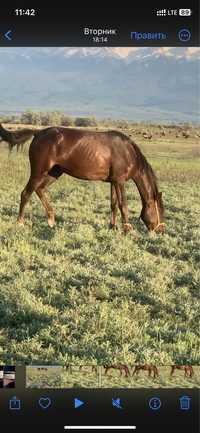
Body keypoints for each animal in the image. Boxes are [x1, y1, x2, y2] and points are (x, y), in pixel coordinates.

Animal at [17, 126, 164, 231]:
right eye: (160, 211)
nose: (161, 230)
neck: (128, 152)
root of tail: (37, 133)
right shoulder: (120, 181)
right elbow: (123, 205)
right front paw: (127, 229)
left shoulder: (113, 182)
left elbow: (113, 204)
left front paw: (112, 227)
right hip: (38, 172)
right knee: (26, 193)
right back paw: (20, 222)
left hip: (53, 173)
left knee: (39, 190)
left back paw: (51, 220)